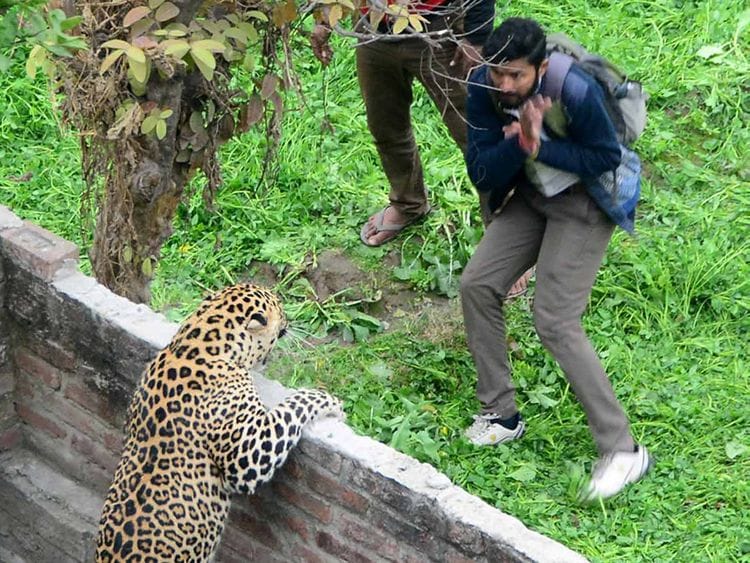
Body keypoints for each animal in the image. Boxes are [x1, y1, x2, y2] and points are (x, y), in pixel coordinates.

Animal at [95, 283, 344, 562]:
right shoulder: (249, 455)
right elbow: (290, 409)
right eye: (280, 306)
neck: (198, 338)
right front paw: (328, 399)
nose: (289, 319)